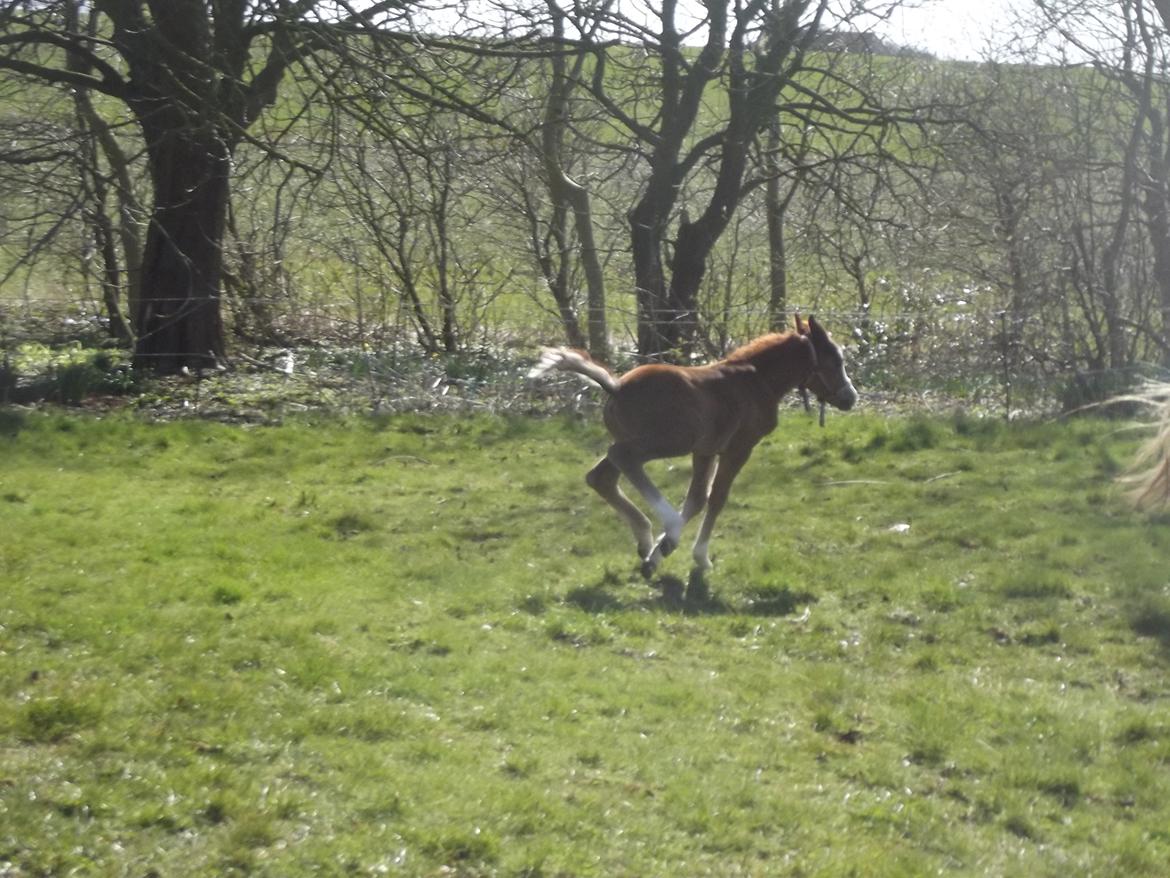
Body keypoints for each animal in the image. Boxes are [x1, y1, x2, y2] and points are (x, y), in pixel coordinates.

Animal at [529, 315, 858, 578]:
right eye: (835, 361)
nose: (850, 397)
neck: (757, 381)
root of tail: (617, 386)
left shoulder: (706, 450)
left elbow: (698, 498)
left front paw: (659, 553)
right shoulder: (738, 448)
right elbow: (717, 498)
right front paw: (696, 554)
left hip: (639, 439)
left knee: (601, 476)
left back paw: (646, 539)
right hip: (667, 441)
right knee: (623, 458)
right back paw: (666, 525)